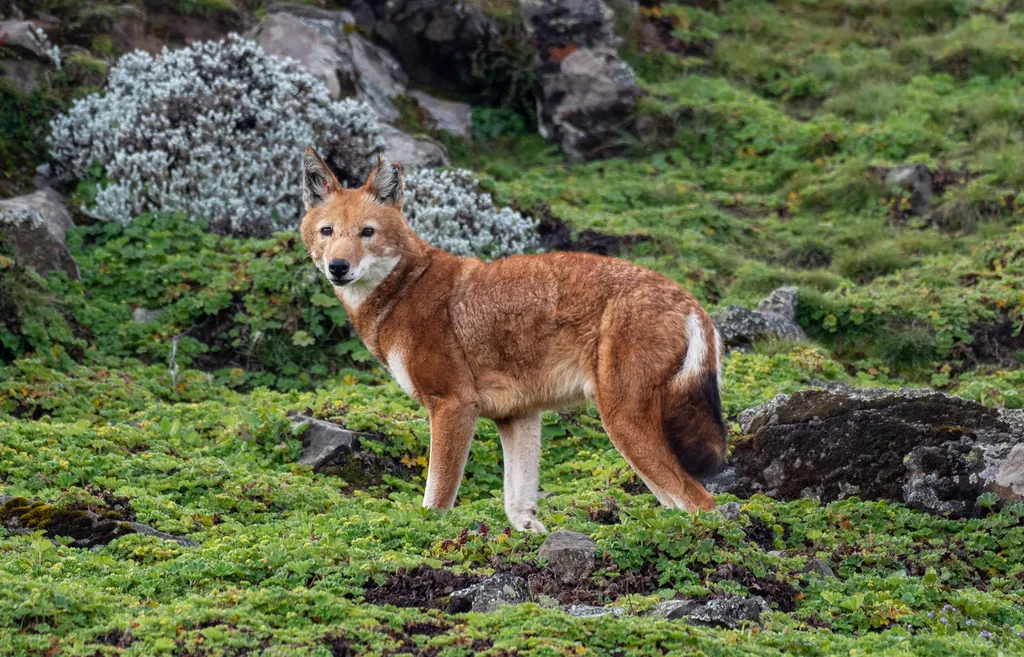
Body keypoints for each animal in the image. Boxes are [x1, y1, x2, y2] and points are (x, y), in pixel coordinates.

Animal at [299, 148, 726, 532]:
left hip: (622, 424)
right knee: (679, 502)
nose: (338, 267)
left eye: (367, 232)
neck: (405, 288)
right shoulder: (517, 416)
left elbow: (435, 503)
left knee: (702, 501)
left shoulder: (453, 405)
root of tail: (689, 301)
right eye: (327, 232)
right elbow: (518, 508)